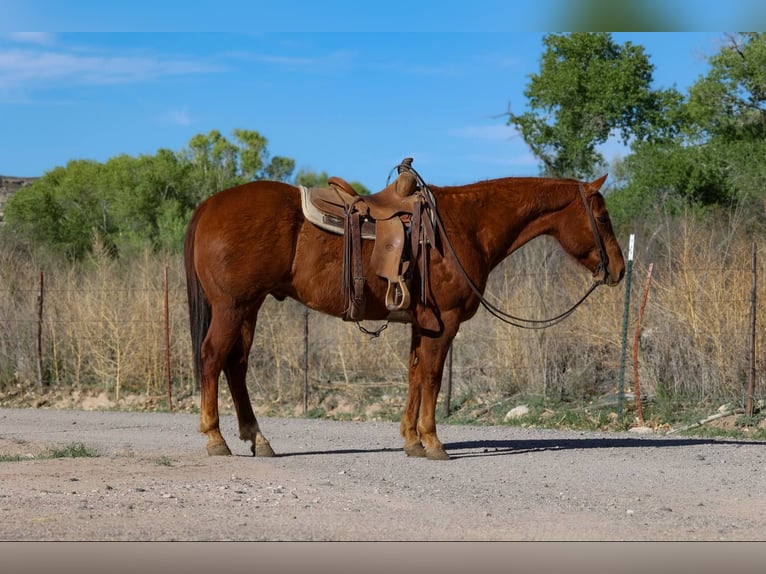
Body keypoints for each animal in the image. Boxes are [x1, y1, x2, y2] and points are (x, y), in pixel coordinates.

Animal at [183, 163, 626, 461]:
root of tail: (209, 205)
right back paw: (216, 438)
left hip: (248, 308)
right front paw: (432, 441)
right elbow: (431, 377)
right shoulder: (444, 323)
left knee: (235, 366)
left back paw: (258, 439)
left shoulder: (422, 324)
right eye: (602, 217)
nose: (620, 269)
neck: (466, 226)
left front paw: (411, 439)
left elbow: (415, 375)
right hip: (232, 307)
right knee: (212, 358)